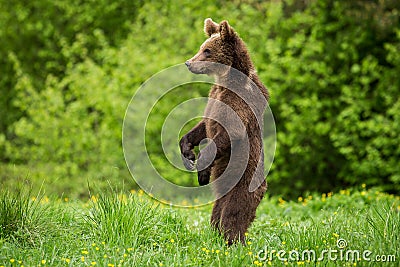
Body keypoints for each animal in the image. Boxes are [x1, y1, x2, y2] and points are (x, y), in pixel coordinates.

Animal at [180, 17, 268, 246]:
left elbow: (230, 133)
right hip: (222, 190)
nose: (188, 63)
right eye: (201, 47)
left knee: (233, 212)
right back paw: (215, 234)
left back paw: (233, 240)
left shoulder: (239, 102)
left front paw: (202, 170)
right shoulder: (214, 97)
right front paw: (188, 153)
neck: (225, 81)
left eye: (208, 50)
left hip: (244, 181)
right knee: (217, 211)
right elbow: (202, 126)